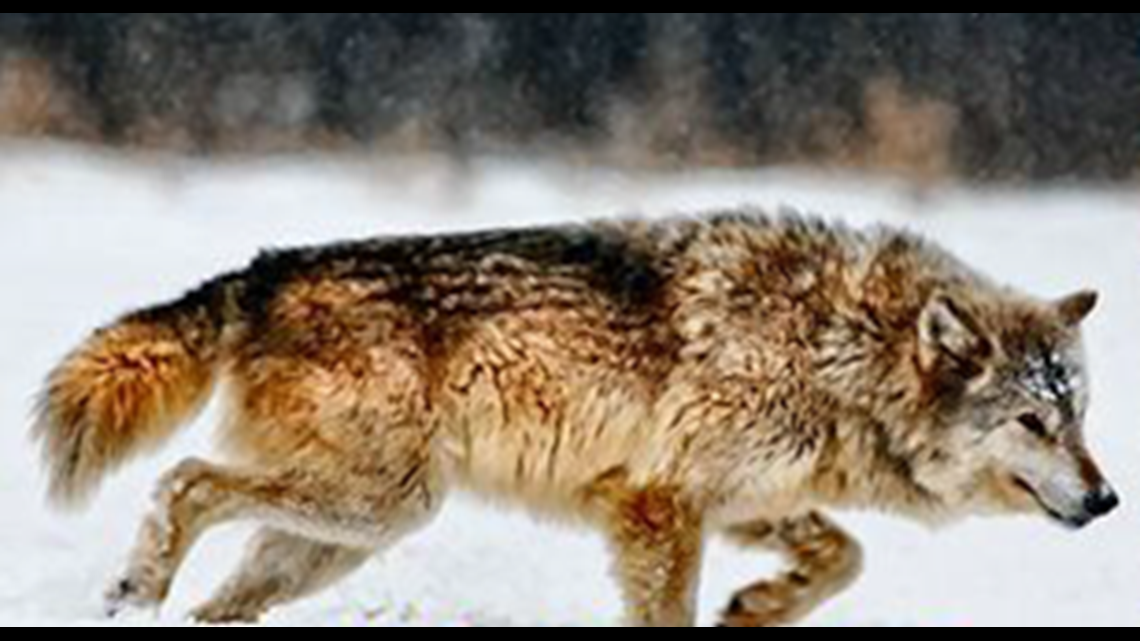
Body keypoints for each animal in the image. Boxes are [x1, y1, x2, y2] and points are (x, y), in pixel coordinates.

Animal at [33, 210, 1117, 626]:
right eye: (1034, 422)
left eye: (1080, 415)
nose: (1108, 498)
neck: (838, 346)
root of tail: (259, 271)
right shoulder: (659, 506)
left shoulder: (729, 500)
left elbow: (844, 553)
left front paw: (760, 603)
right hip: (381, 506)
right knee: (184, 481)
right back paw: (134, 585)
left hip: (338, 537)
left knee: (220, 595)